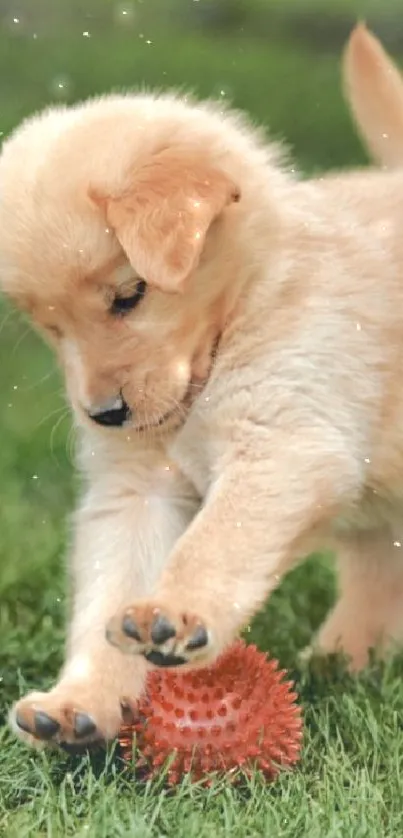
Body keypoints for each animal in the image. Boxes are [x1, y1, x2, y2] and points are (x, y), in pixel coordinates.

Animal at [2, 39, 403, 748]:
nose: (105, 416)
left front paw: (176, 612)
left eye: (129, 295)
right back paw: (342, 658)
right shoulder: (137, 487)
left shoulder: (281, 442)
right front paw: (81, 702)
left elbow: (217, 541)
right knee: (376, 573)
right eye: (48, 325)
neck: (243, 308)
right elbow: (113, 585)